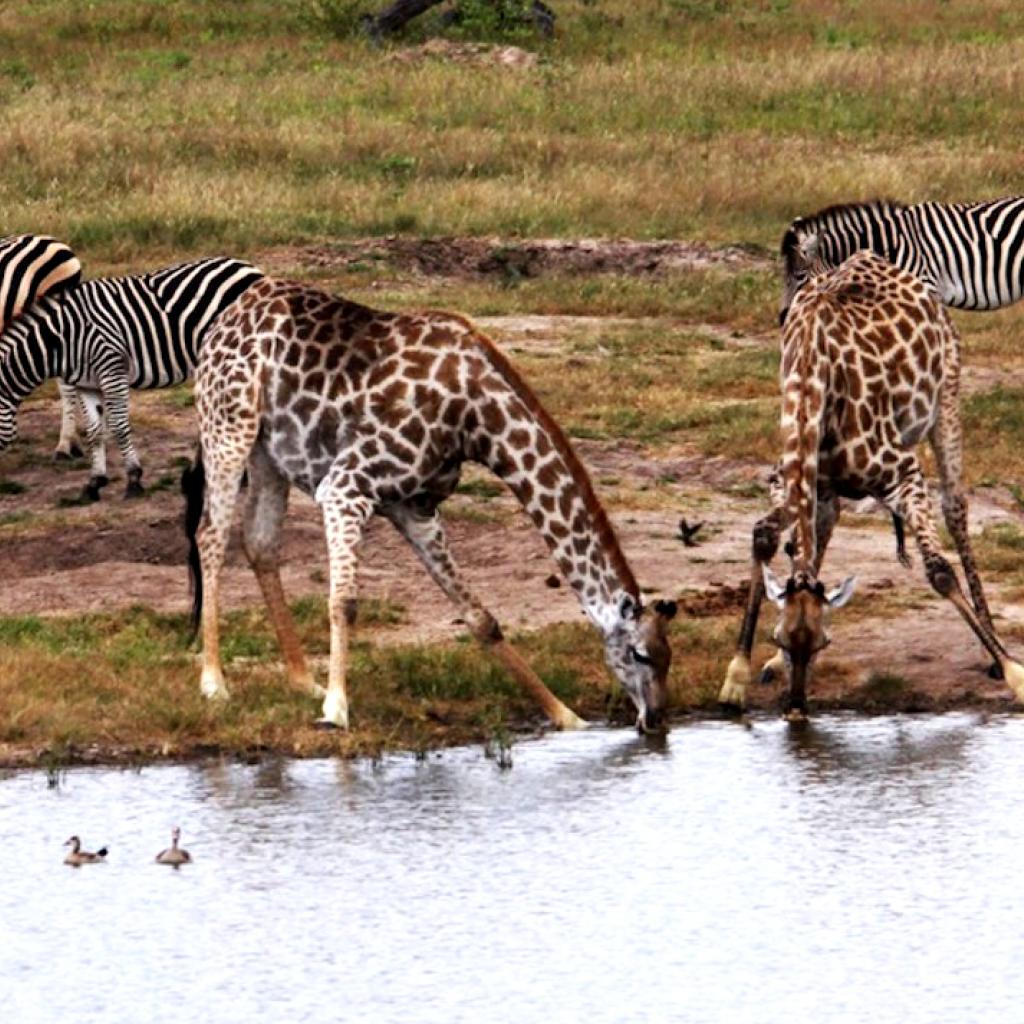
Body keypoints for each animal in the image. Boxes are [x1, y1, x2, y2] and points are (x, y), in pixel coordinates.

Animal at [184, 276, 679, 733]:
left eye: (668, 656)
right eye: (639, 654)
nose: (655, 720)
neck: (477, 419)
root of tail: (230, 314)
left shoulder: (415, 507)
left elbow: (481, 618)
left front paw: (566, 716)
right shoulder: (346, 486)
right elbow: (344, 601)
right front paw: (337, 710)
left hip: (270, 453)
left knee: (260, 542)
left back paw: (303, 680)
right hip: (228, 425)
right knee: (211, 535)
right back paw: (214, 683)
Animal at [716, 250, 1024, 720]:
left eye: (823, 644)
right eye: (779, 639)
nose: (796, 710)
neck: (811, 384)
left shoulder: (905, 474)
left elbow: (939, 571)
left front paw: (1013, 673)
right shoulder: (791, 481)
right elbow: (765, 536)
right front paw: (737, 678)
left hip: (947, 399)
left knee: (956, 509)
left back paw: (992, 646)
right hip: (828, 488)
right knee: (823, 530)